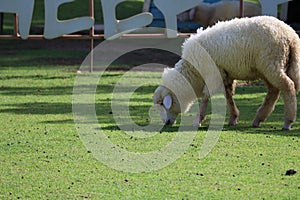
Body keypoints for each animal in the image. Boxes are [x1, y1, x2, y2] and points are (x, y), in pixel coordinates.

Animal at [154, 16, 300, 130]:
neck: (193, 72)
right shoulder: (225, 75)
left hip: (272, 64)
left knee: (288, 86)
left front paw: (198, 120)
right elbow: (228, 96)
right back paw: (258, 119)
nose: (166, 123)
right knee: (273, 91)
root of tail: (290, 35)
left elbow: (206, 97)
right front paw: (233, 118)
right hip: (268, 68)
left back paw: (288, 122)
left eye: (162, 104)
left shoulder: (212, 75)